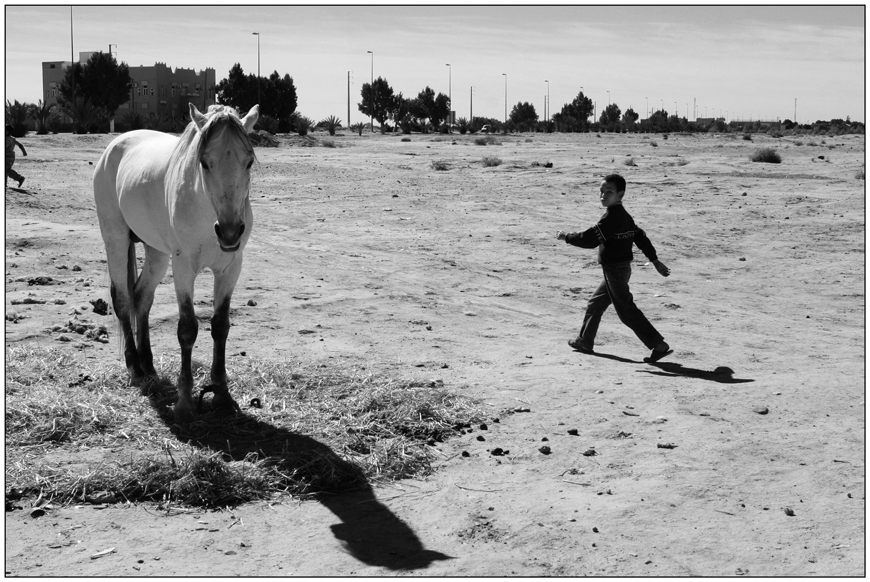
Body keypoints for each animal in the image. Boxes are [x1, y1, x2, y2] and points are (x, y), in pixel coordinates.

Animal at [95, 104, 260, 424]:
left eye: (248, 162)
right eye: (205, 163)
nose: (230, 232)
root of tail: (115, 143)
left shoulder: (230, 268)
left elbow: (220, 326)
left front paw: (222, 394)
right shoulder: (184, 268)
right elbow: (187, 329)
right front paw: (184, 403)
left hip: (157, 253)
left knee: (141, 298)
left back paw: (148, 365)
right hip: (116, 239)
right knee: (122, 300)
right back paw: (135, 368)